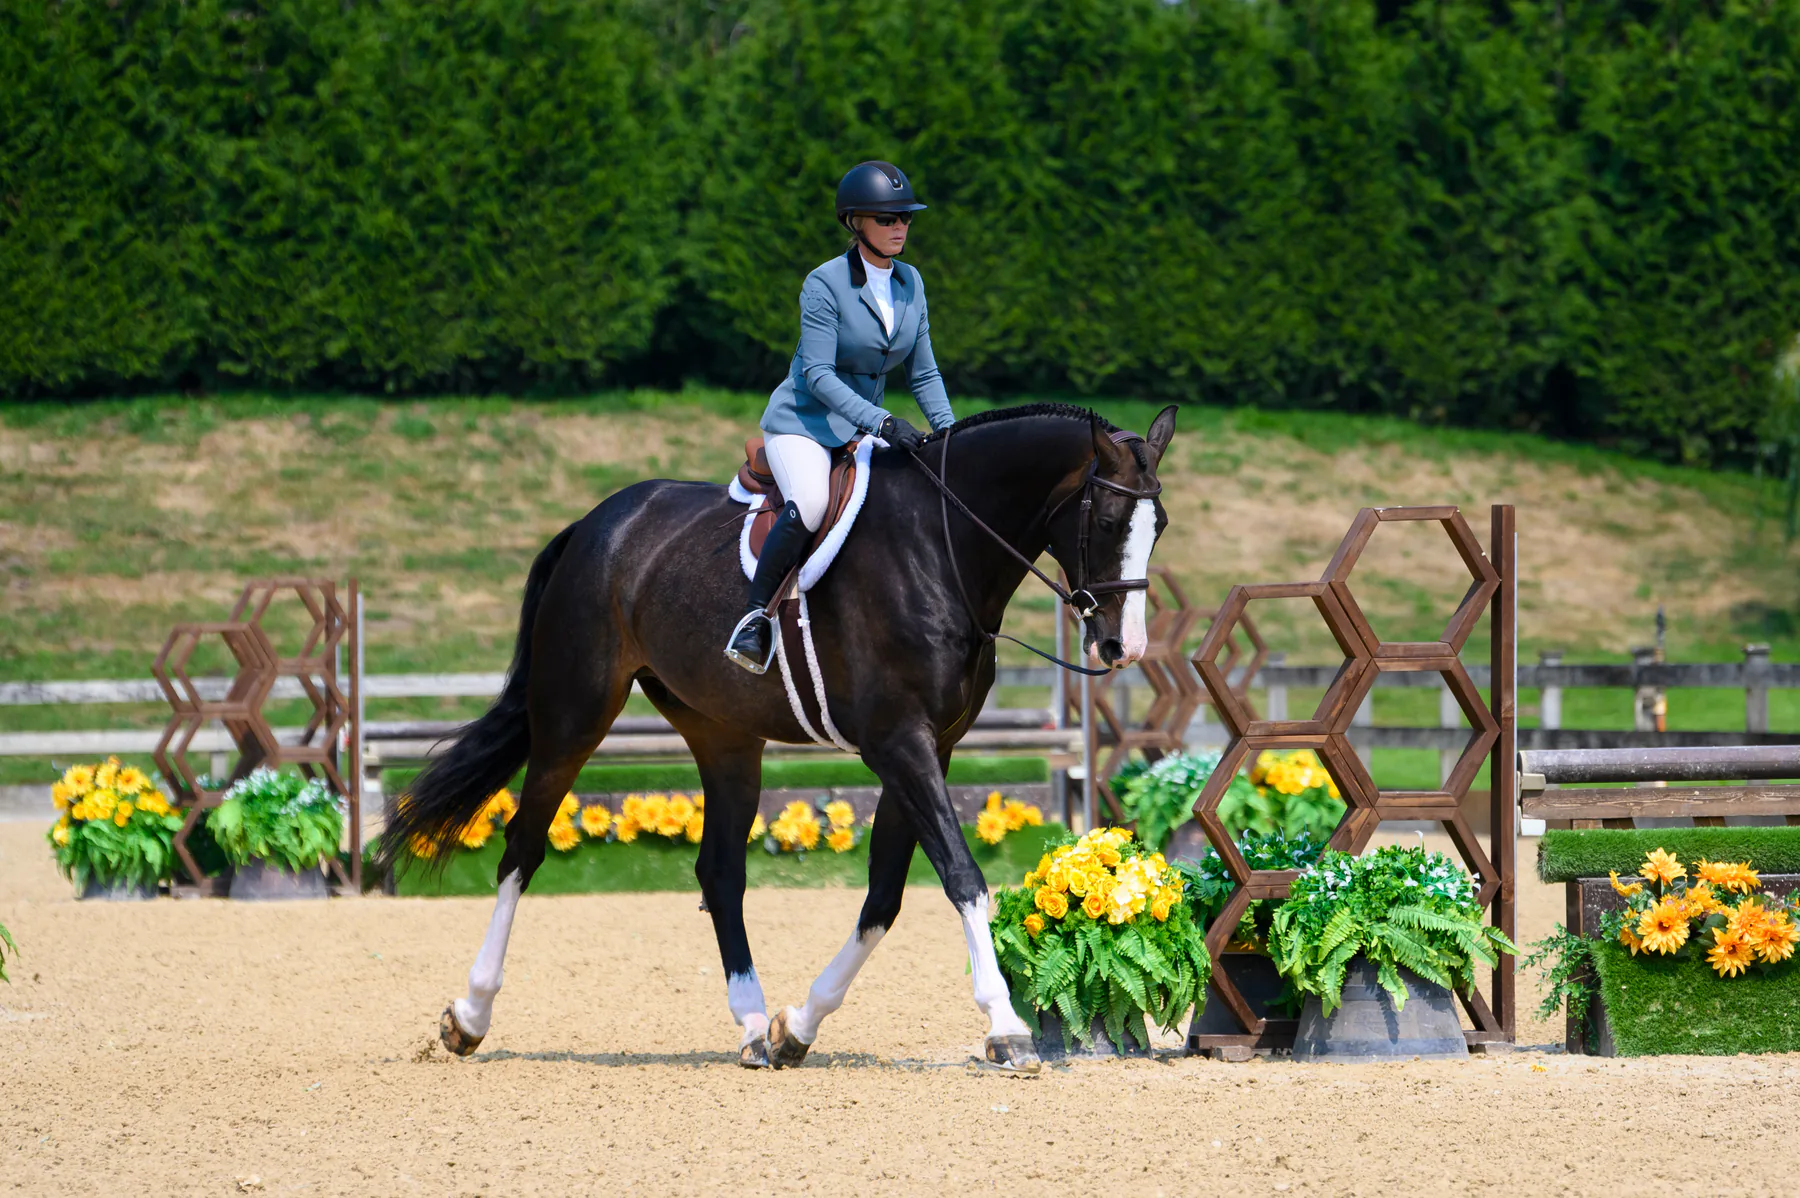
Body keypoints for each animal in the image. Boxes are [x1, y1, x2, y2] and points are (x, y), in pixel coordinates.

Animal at [379, 402, 1179, 1074]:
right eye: (1110, 519)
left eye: (1159, 526)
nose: (1124, 647)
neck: (940, 547)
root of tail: (596, 523)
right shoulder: (900, 743)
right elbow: (962, 877)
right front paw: (1007, 1027)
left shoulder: (931, 747)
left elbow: (884, 898)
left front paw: (798, 1026)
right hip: (574, 714)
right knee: (523, 847)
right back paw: (469, 1016)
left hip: (725, 738)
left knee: (719, 873)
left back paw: (752, 1024)